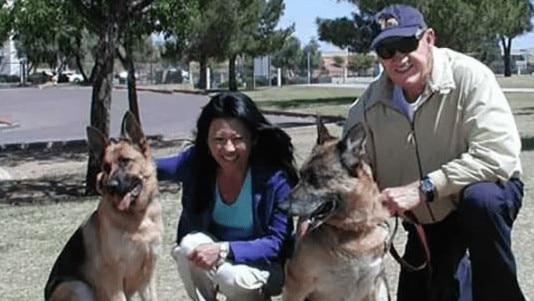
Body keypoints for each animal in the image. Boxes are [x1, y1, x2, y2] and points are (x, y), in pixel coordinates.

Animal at [44, 112, 162, 300]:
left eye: (125, 161)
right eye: (106, 167)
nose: (110, 186)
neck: (137, 218)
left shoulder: (147, 277)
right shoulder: (114, 280)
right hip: (77, 286)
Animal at [282, 118, 392, 298]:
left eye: (315, 179)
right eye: (301, 175)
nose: (280, 206)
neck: (352, 231)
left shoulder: (373, 287)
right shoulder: (296, 283)